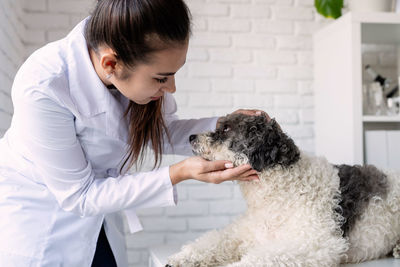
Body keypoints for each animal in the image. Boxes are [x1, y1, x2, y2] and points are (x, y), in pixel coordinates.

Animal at [166, 114, 400, 267]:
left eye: (226, 129)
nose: (191, 137)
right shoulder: (242, 233)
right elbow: (212, 241)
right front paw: (183, 258)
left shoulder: (314, 243)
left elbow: (259, 258)